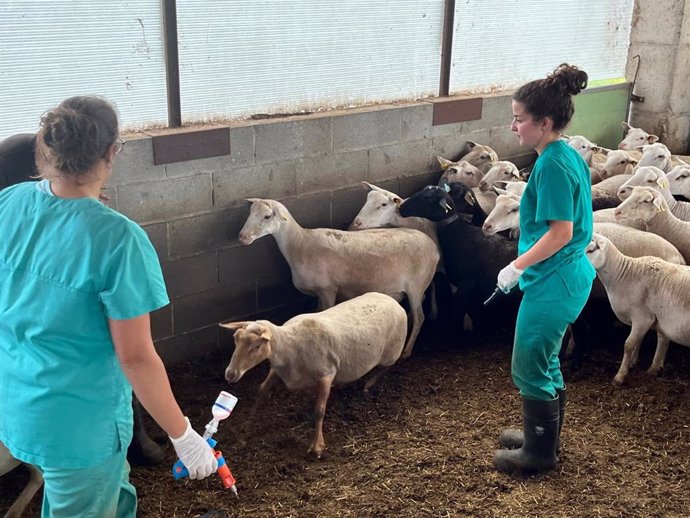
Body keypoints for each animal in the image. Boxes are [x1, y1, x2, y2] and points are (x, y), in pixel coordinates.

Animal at [219, 292, 408, 460]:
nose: (230, 374)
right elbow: (262, 391)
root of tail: (392, 300)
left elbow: (319, 410)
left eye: (257, 345)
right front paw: (245, 430)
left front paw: (317, 446)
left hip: (392, 351)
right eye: (235, 339)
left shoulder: (327, 374)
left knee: (388, 366)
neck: (290, 345)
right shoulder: (278, 371)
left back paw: (368, 384)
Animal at [239, 197, 438, 360]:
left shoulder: (328, 290)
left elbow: (324, 314)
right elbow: (316, 311)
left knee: (420, 316)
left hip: (415, 285)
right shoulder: (319, 293)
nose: (242, 237)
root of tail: (433, 247)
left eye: (267, 216)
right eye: (250, 213)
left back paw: (407, 350)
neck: (300, 244)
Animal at [584, 236, 688, 386]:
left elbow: (628, 344)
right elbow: (638, 341)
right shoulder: (642, 320)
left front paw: (620, 376)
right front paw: (633, 362)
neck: (623, 275)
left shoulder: (642, 318)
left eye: (591, 250)